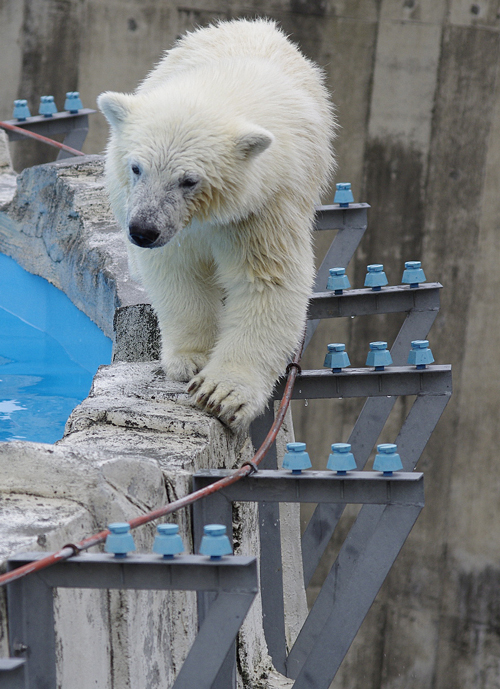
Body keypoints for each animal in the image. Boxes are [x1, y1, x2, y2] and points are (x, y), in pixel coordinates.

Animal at [97, 18, 336, 428]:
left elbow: (266, 281)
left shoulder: (264, 205)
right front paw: (190, 360)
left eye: (189, 180)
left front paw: (221, 394)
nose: (143, 231)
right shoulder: (177, 230)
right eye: (137, 167)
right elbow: (178, 271)